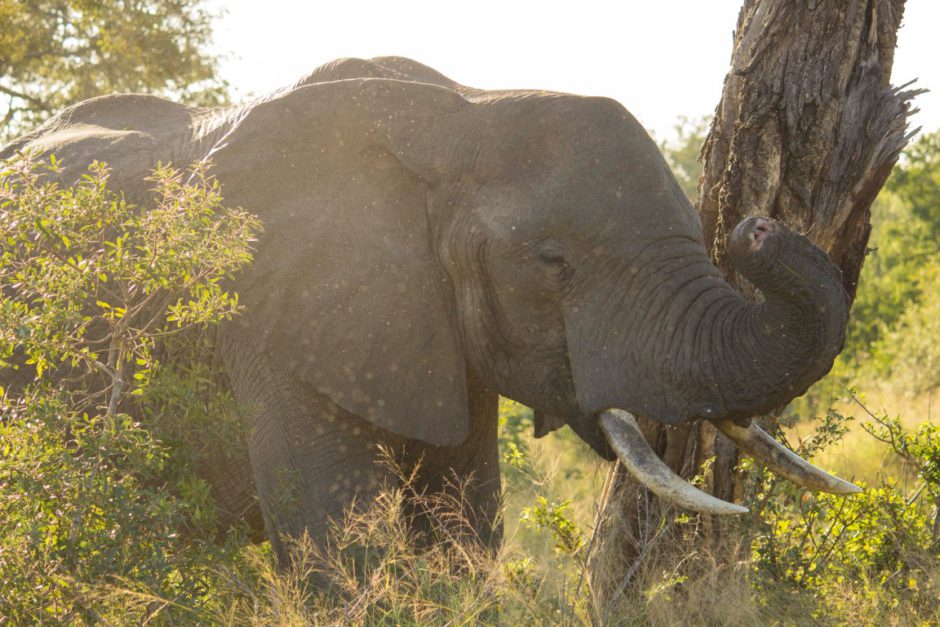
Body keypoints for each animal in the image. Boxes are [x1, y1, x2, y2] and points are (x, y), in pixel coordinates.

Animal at [0, 55, 860, 560]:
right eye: (553, 263)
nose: (757, 227)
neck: (457, 112)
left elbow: (462, 532)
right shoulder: (272, 314)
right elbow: (340, 544)